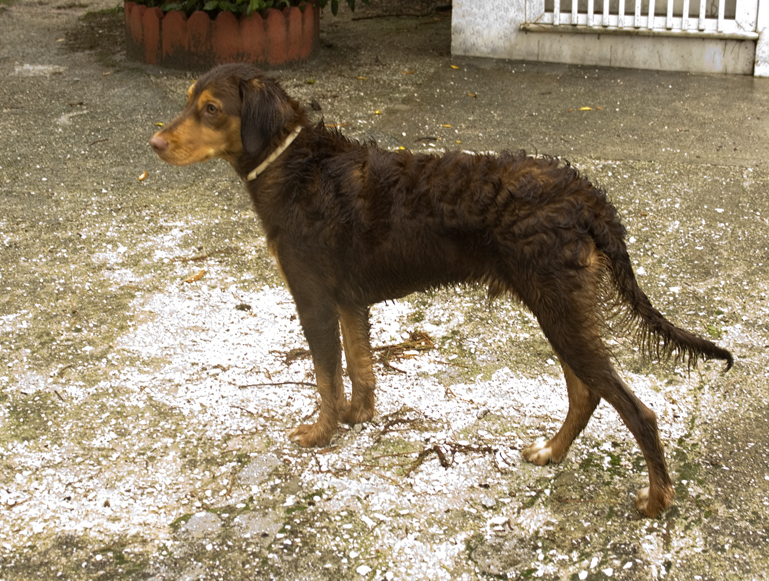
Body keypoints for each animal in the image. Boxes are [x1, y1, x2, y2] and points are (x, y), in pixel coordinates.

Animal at [150, 63, 733, 518]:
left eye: (210, 108)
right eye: (188, 101)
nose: (154, 143)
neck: (296, 166)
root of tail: (585, 195)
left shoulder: (312, 299)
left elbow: (326, 376)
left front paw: (321, 433)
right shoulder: (348, 301)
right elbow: (360, 367)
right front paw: (359, 417)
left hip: (559, 309)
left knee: (635, 410)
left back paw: (656, 500)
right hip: (561, 307)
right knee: (586, 391)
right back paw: (552, 452)